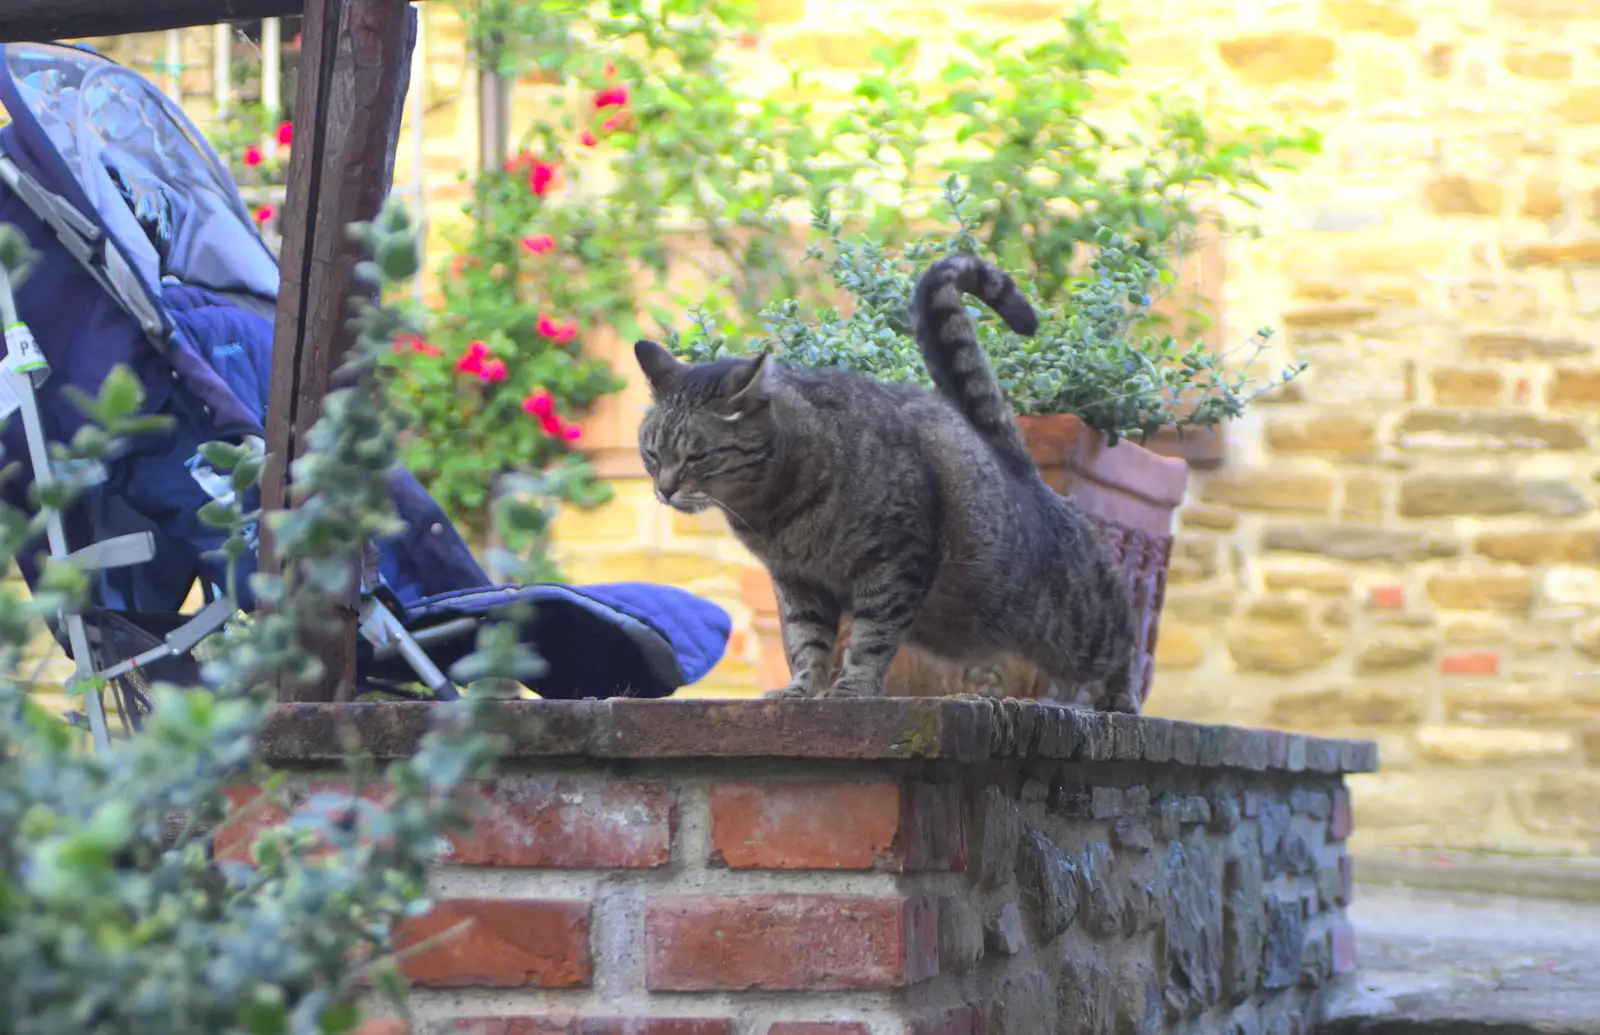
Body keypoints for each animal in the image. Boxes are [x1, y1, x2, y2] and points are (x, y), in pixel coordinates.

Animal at [630, 255, 1145, 716]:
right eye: (651, 454)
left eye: (695, 456)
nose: (665, 489)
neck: (772, 513)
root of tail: (1016, 464)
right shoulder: (798, 583)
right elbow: (806, 642)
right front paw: (802, 689)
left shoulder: (895, 564)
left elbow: (870, 639)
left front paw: (852, 689)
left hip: (1076, 626)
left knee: (1125, 634)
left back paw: (1121, 697)